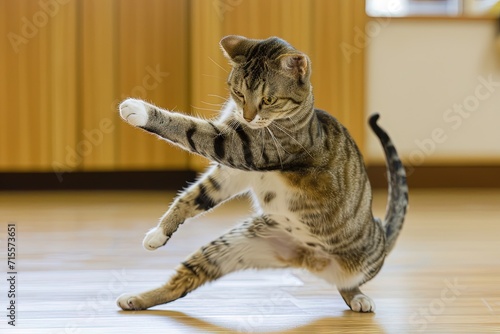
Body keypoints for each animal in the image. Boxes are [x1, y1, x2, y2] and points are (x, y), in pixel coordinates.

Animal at [116, 35, 406, 312]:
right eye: (238, 93)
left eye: (269, 100)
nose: (247, 117)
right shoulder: (232, 173)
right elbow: (194, 197)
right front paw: (160, 233)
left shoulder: (239, 148)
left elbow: (189, 129)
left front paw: (139, 110)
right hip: (232, 246)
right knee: (184, 281)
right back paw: (136, 299)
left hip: (359, 264)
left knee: (350, 285)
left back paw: (358, 297)